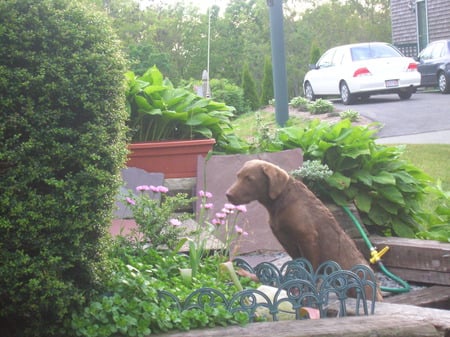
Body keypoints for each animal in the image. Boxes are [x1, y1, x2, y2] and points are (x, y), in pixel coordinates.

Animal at [227, 159, 382, 300]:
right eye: (238, 176)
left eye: (249, 179)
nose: (228, 195)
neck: (280, 204)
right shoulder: (287, 241)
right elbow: (296, 266)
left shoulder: (308, 238)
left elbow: (310, 268)